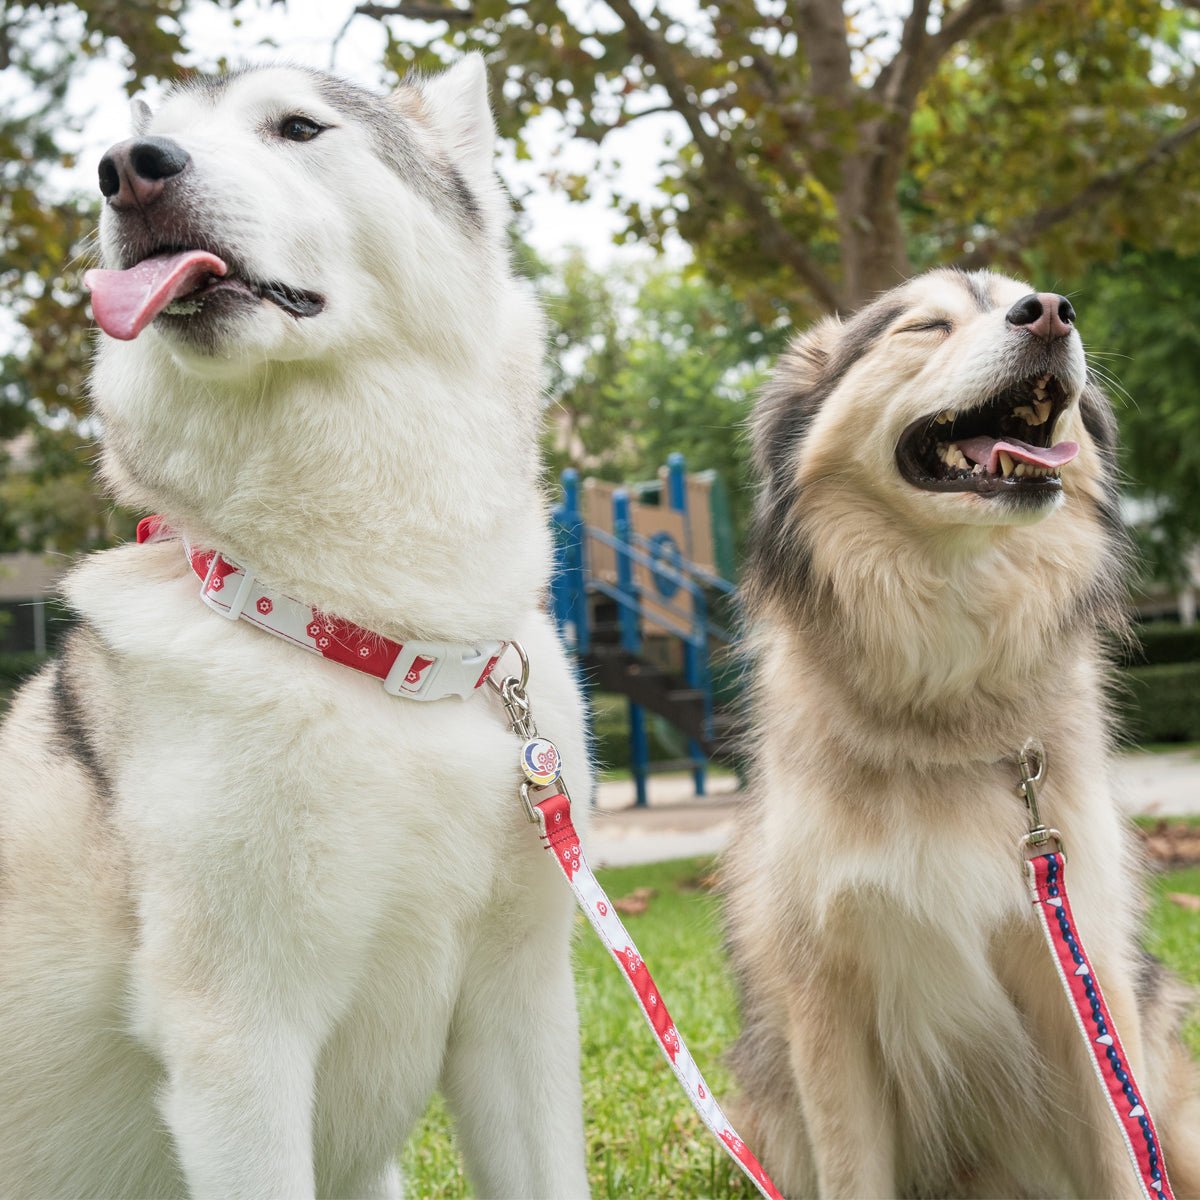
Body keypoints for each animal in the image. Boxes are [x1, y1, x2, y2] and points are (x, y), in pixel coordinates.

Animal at [0, 56, 592, 1200]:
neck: (373, 638)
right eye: (139, 140)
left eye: (299, 127)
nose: (125, 169)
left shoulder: (524, 1005)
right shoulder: (240, 1041)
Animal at [724, 272, 1195, 1200]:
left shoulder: (1085, 975)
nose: (1050, 313)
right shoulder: (828, 1006)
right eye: (925, 327)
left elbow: (1125, 1158)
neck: (945, 698)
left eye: (1038, 300)